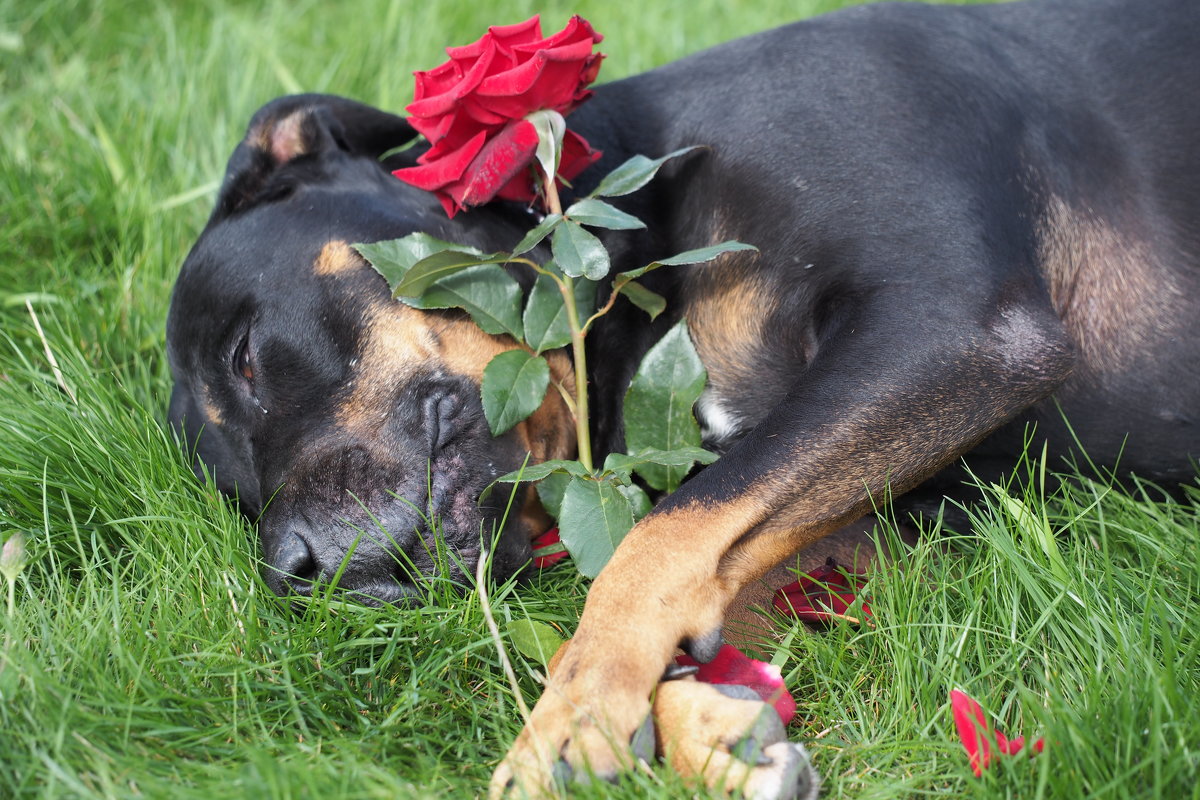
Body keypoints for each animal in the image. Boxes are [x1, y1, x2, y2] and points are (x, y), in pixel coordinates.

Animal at [164, 1, 1195, 796]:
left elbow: (656, 540)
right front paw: (710, 733)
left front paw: (569, 722)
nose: (294, 572)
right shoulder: (894, 520)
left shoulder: (952, 327)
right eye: (233, 494)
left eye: (245, 357)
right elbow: (702, 577)